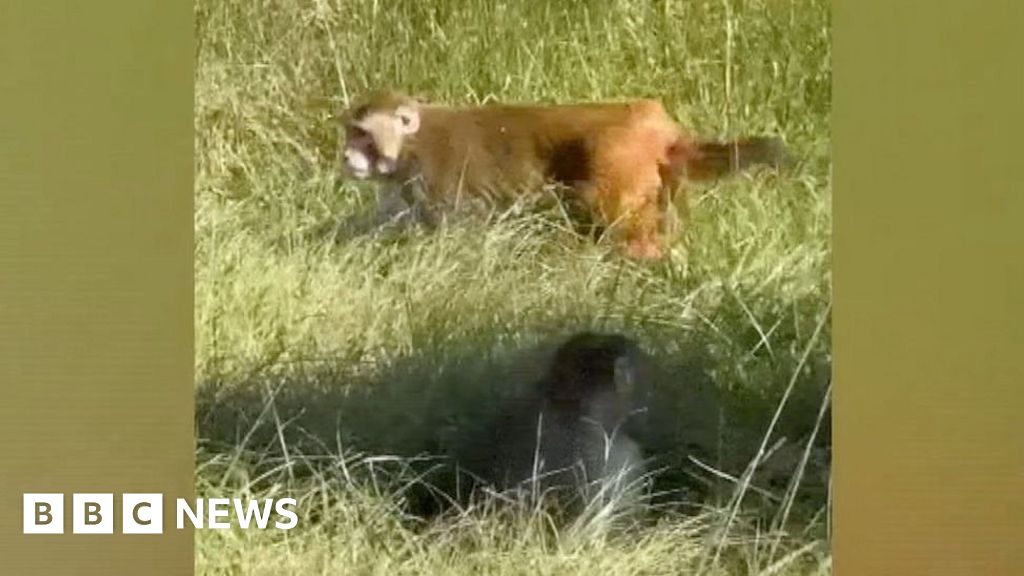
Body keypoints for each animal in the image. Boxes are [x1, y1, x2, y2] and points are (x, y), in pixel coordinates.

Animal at [339, 90, 789, 259]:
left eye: (361, 134)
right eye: (350, 131)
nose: (345, 155)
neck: (409, 144)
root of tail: (655, 124)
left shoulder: (433, 179)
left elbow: (457, 238)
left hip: (616, 161)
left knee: (603, 211)